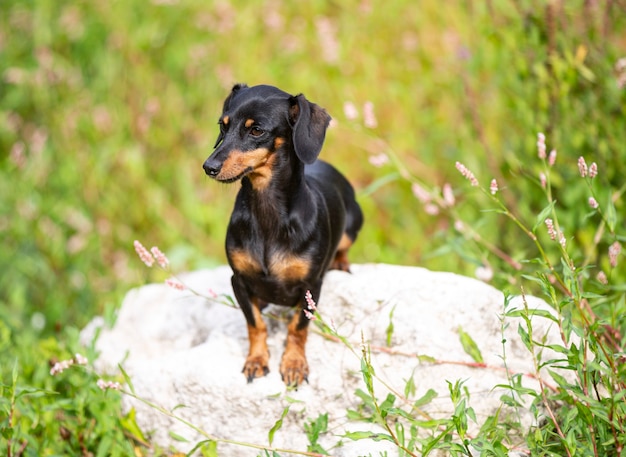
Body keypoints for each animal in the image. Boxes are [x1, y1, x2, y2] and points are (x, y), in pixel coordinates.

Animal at [202, 83, 364, 384]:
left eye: (256, 130)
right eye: (223, 125)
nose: (209, 167)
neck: (267, 212)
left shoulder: (311, 287)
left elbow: (297, 327)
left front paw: (294, 364)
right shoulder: (238, 280)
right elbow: (255, 323)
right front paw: (256, 360)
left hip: (353, 224)